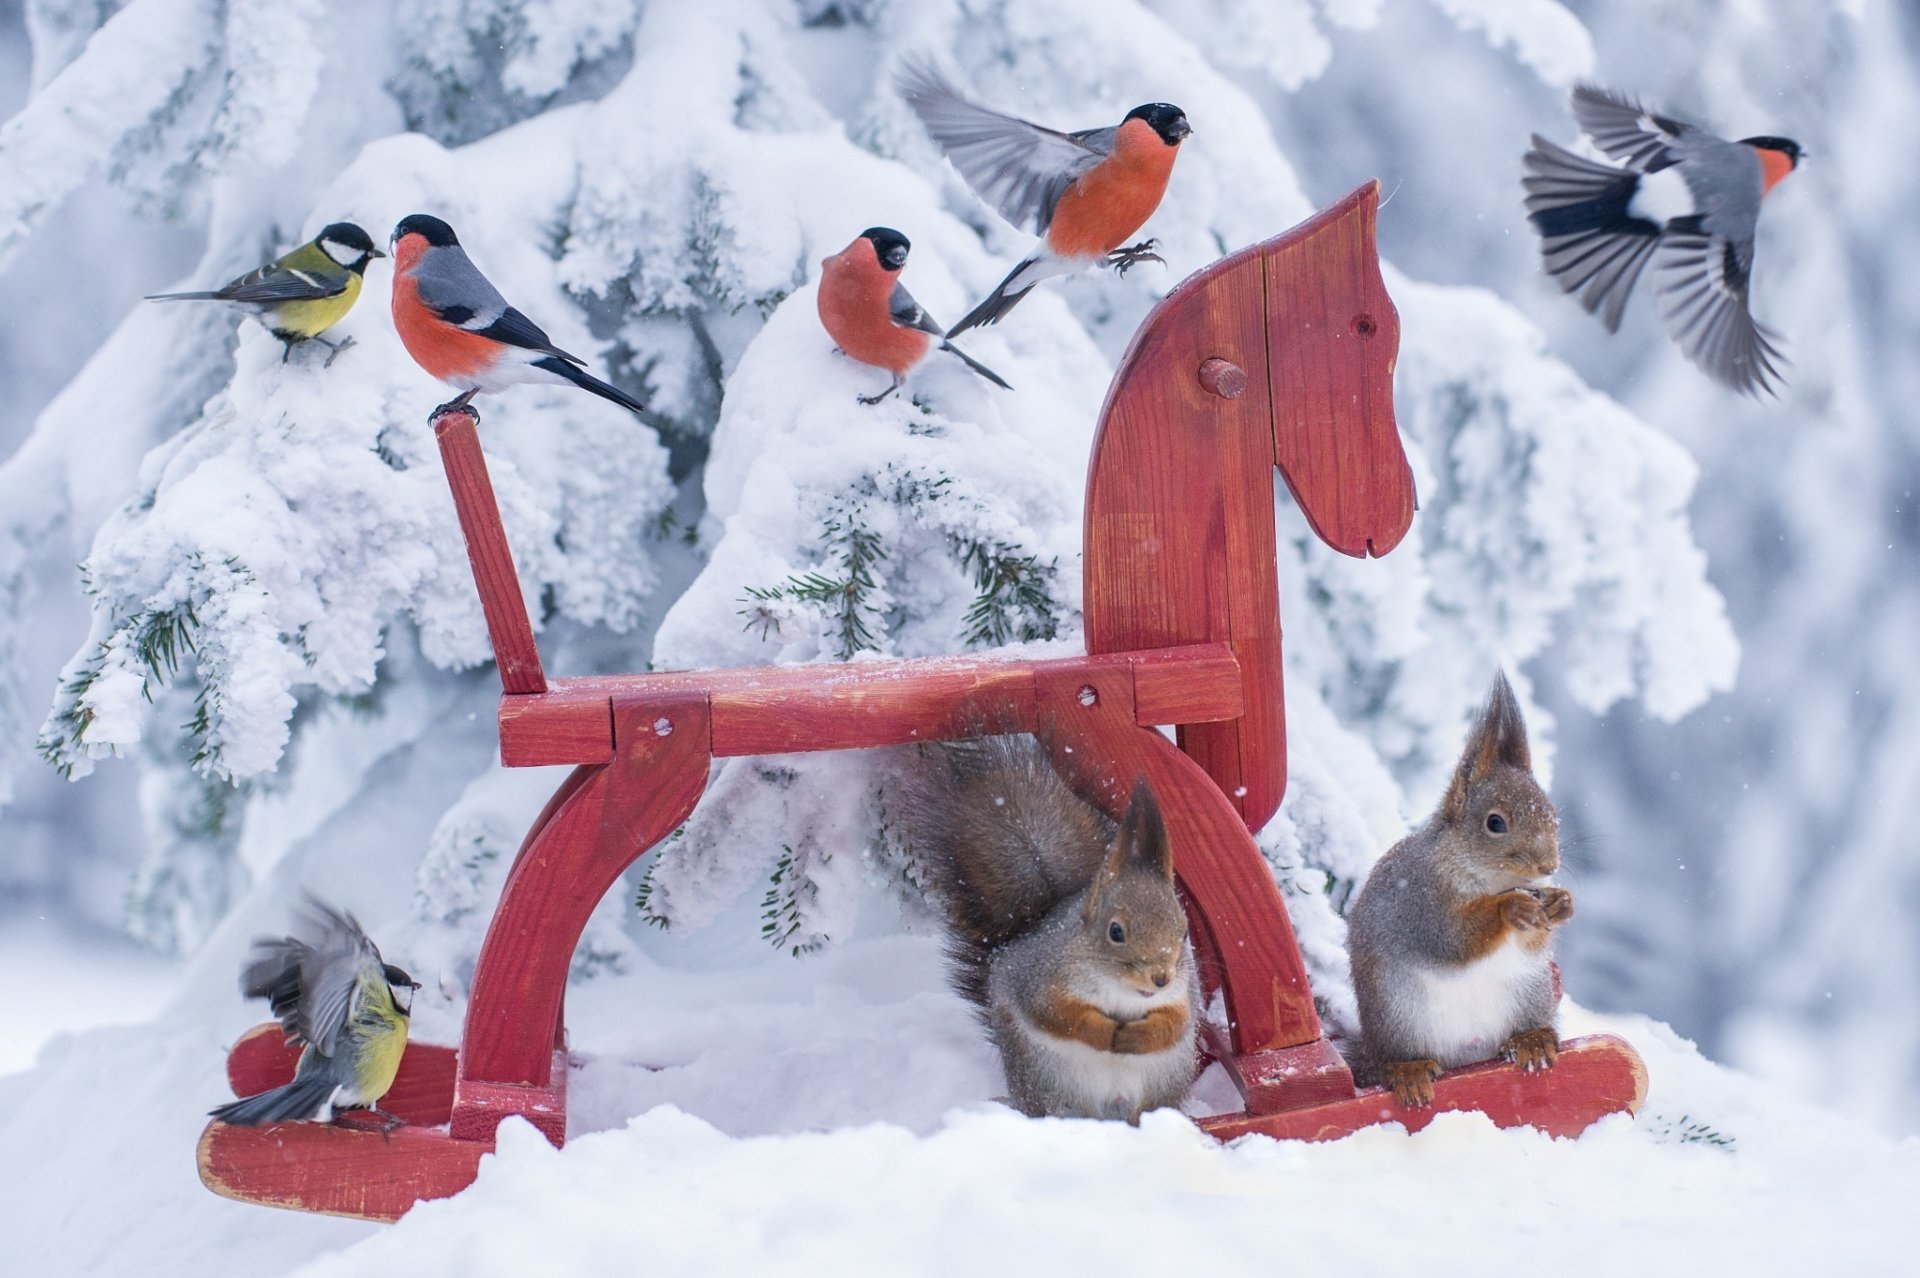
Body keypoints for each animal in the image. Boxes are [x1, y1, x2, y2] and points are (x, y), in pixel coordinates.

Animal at [901, 733, 1200, 1123]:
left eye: (1184, 932)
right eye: (1116, 931)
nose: (1160, 978)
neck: (1120, 991)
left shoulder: (1183, 994)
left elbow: (1174, 1024)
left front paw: (1135, 1037)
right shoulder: (1038, 977)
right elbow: (1057, 1015)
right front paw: (1105, 1033)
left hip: (1164, 1083)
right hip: (1046, 1078)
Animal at [1345, 671, 1573, 1108]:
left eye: (1553, 813)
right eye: (1495, 823)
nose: (1548, 867)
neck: (1490, 881)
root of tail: (1469, 1057)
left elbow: (1533, 942)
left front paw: (1560, 903)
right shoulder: (1419, 904)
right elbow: (1452, 941)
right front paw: (1511, 908)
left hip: (1531, 993)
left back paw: (1532, 1039)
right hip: (1397, 1015)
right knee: (1392, 1062)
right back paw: (1410, 1070)